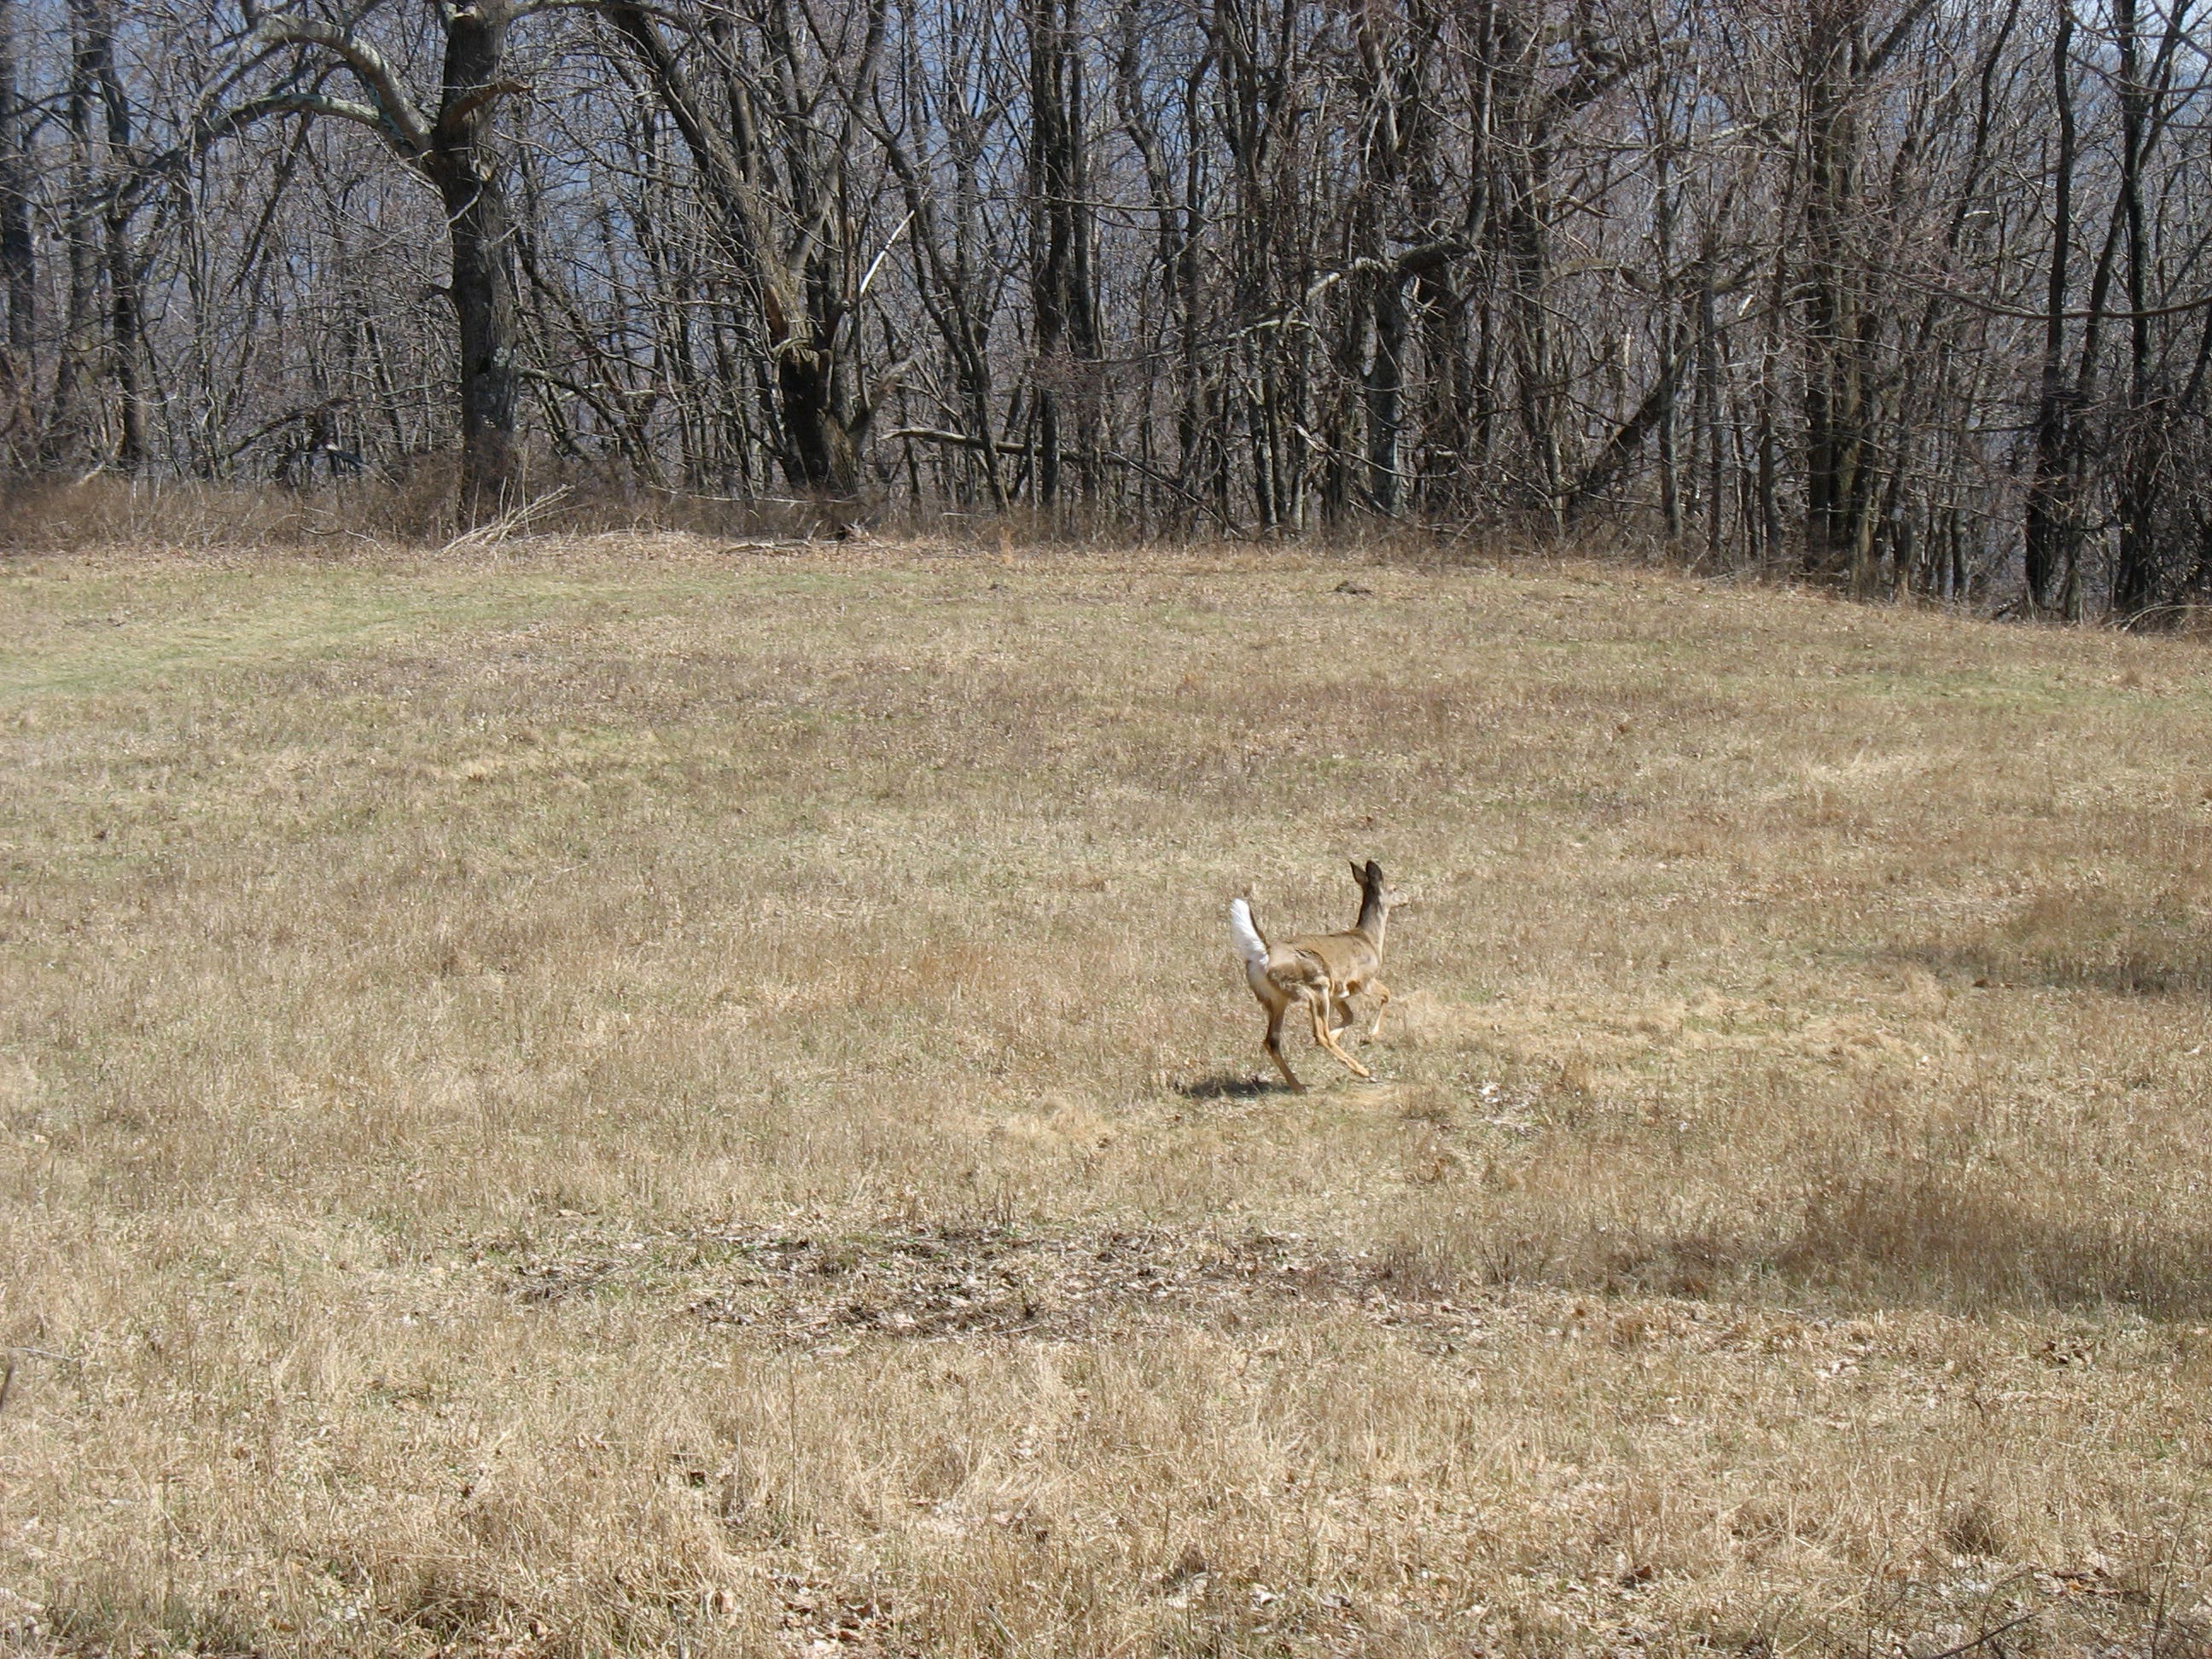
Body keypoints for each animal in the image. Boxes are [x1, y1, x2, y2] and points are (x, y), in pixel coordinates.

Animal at [1228, 860, 1405, 1091]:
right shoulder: (1363, 980)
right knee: (1320, 1034)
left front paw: (1346, 1035)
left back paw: (1298, 1086)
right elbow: (1387, 994)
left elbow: (1350, 1016)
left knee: (1272, 1040)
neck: (1370, 940)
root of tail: (1264, 954)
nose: (1407, 897)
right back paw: (1364, 1071)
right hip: (1315, 986)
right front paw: (1368, 1038)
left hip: (1275, 998)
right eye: (1394, 888)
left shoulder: (1338, 993)